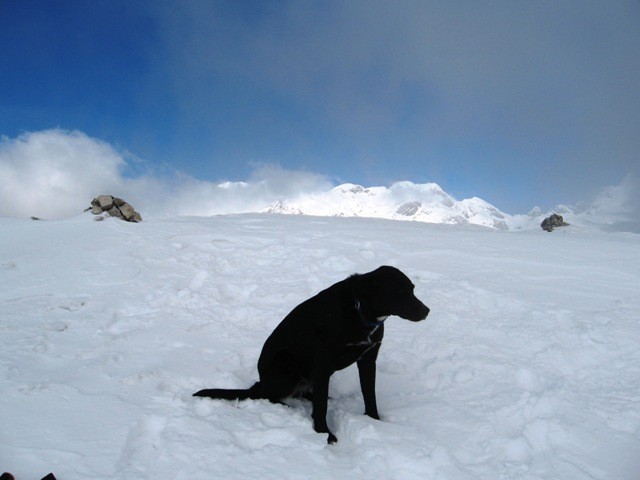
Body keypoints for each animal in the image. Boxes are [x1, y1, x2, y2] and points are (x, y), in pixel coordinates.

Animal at [192, 266, 428, 442]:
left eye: (413, 289)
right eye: (400, 292)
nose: (427, 311)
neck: (360, 312)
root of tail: (260, 381)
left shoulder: (368, 359)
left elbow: (369, 395)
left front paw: (375, 421)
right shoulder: (323, 362)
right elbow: (321, 407)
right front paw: (324, 434)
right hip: (286, 362)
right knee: (268, 395)